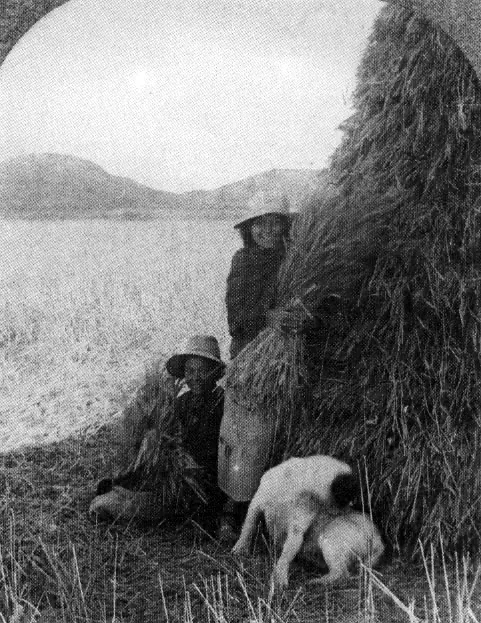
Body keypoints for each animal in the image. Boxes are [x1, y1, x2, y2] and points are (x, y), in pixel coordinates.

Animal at [231, 456, 384, 588]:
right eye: (346, 500)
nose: (349, 509)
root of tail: (378, 542)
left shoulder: (297, 527)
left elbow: (286, 553)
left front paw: (279, 576)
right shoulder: (257, 503)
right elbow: (248, 528)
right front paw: (239, 549)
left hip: (330, 539)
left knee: (341, 573)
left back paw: (316, 582)